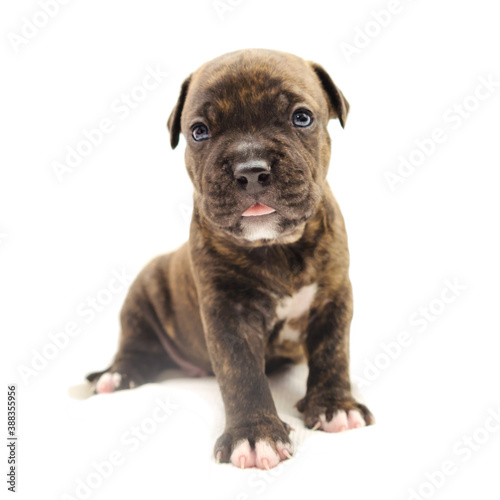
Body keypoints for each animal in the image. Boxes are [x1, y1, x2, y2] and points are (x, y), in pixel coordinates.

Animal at [88, 48, 374, 470]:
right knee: (133, 344)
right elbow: (242, 374)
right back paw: (118, 375)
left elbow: (332, 352)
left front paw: (335, 405)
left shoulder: (333, 296)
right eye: (199, 132)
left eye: (302, 118)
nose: (250, 169)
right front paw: (255, 435)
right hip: (142, 294)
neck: (276, 246)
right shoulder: (229, 314)